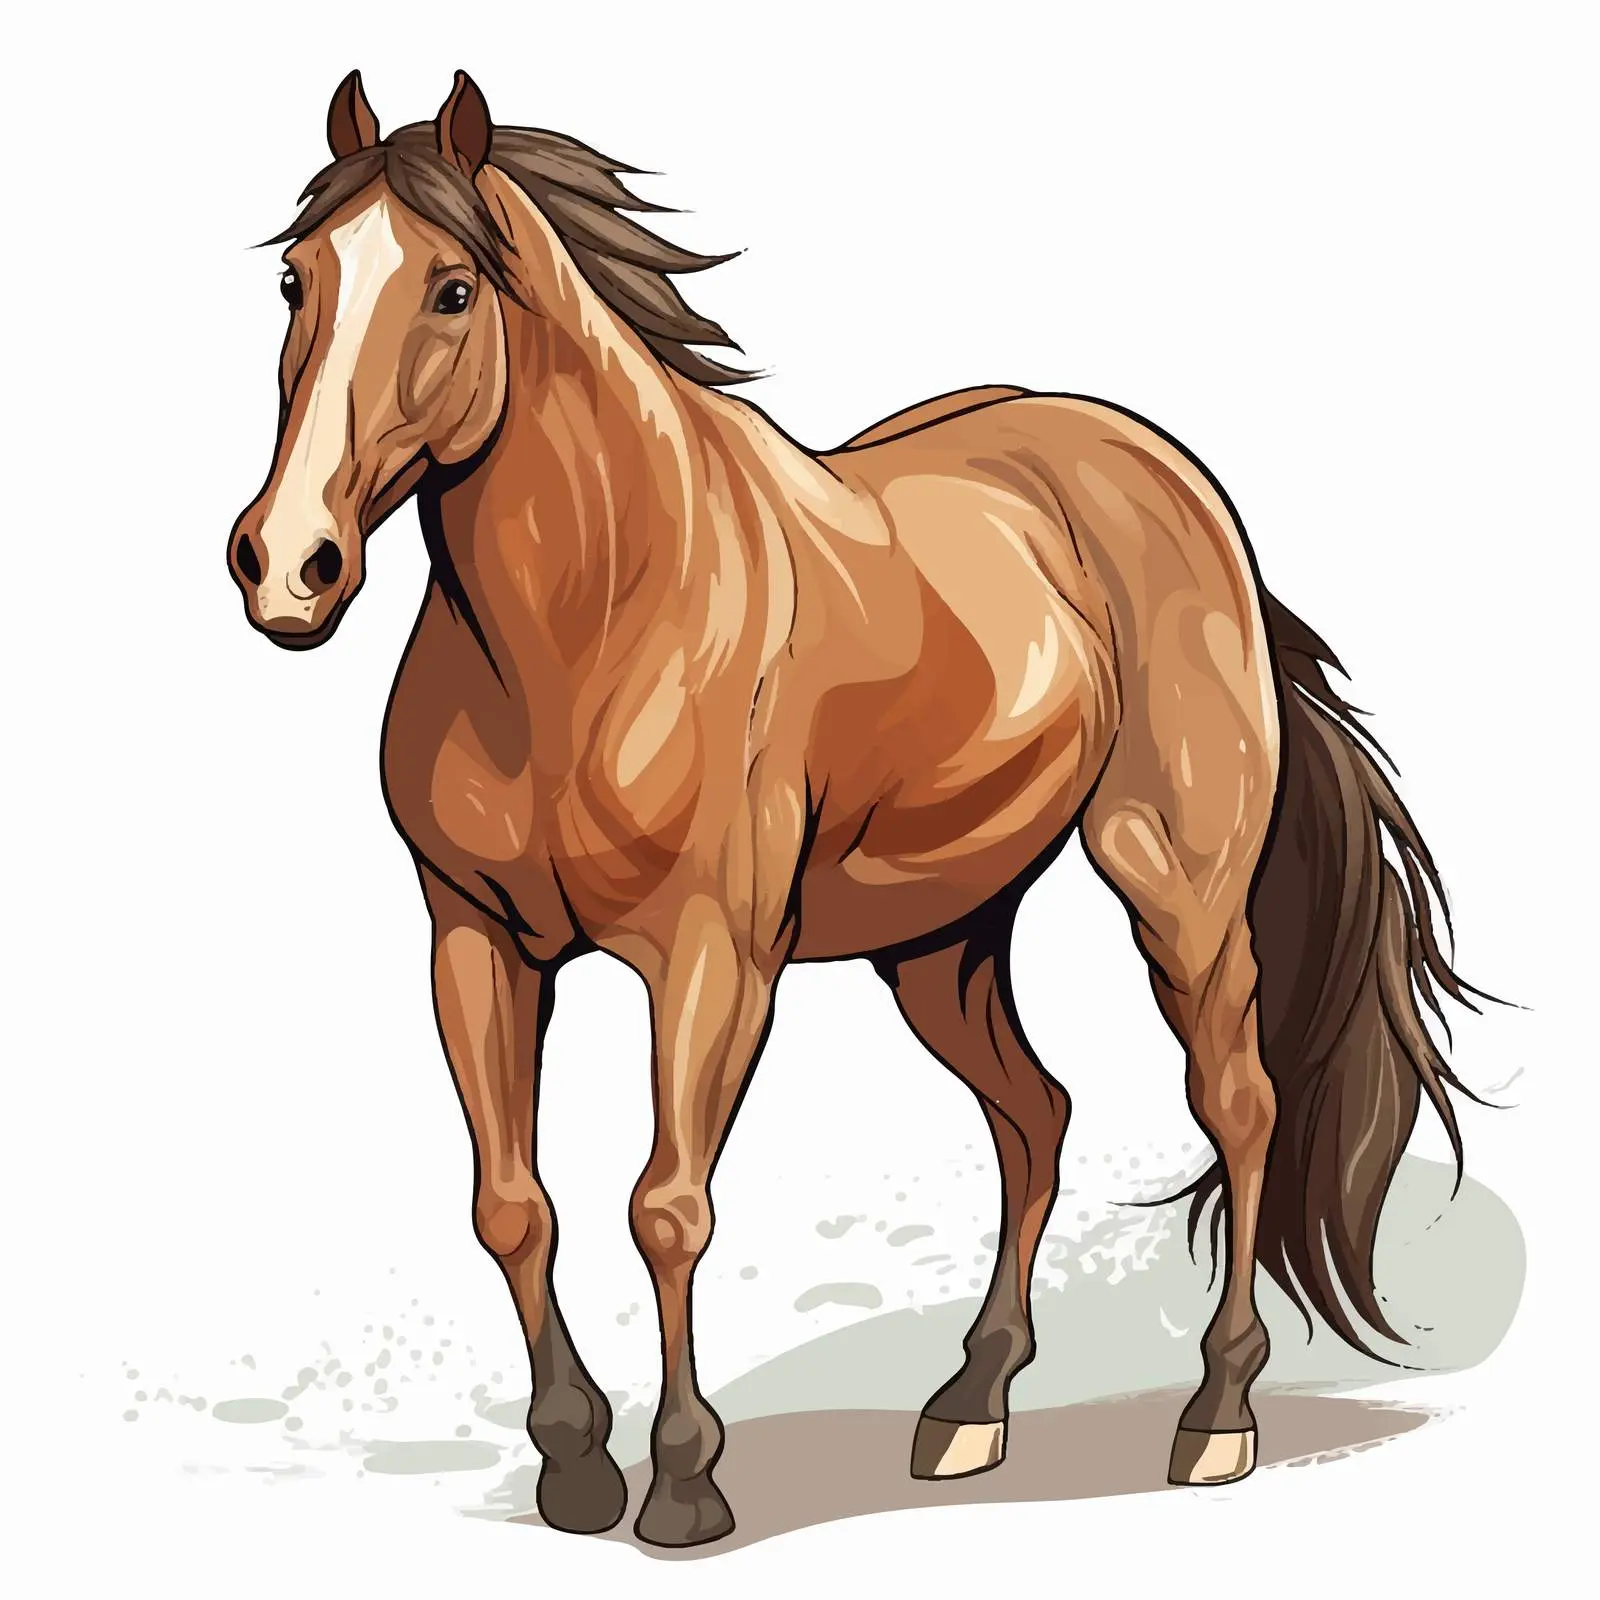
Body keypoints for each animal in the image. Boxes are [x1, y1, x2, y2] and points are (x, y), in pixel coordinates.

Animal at [226, 70, 1488, 1547]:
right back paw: (970, 1408)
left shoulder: (712, 960)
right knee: (1036, 1115)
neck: (597, 622)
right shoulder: (473, 943)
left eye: (451, 287)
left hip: (1175, 891)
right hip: (938, 943)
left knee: (1236, 1103)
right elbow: (511, 1207)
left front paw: (686, 1480)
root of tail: (1162, 473)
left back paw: (1215, 1416)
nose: (286, 564)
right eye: (298, 279)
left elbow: (668, 1206)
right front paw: (575, 1462)